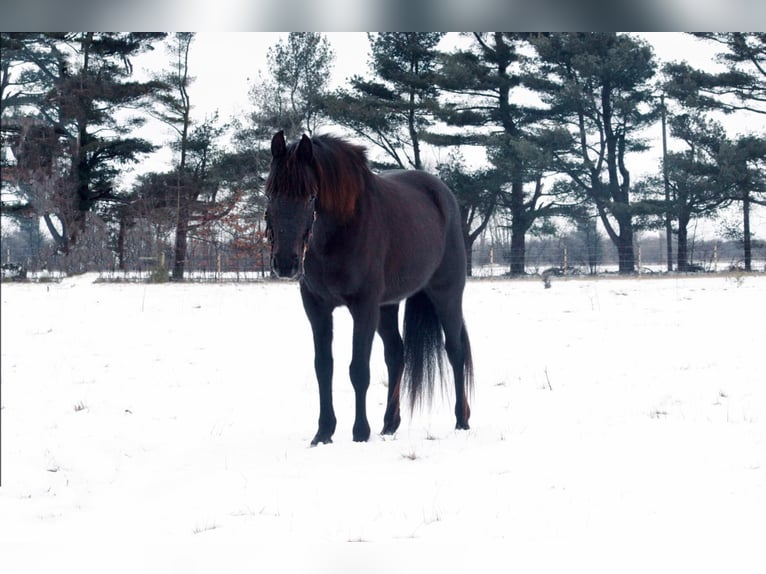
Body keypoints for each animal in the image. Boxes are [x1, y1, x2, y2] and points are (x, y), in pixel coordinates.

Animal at [268, 133, 474, 448]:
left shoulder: (363, 306)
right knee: (396, 354)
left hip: (446, 294)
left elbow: (358, 369)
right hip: (387, 306)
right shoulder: (317, 307)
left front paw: (359, 432)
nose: (285, 263)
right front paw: (323, 433)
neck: (339, 230)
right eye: (270, 194)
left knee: (455, 351)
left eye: (311, 197)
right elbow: (323, 368)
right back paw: (389, 424)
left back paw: (462, 420)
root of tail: (442, 195)